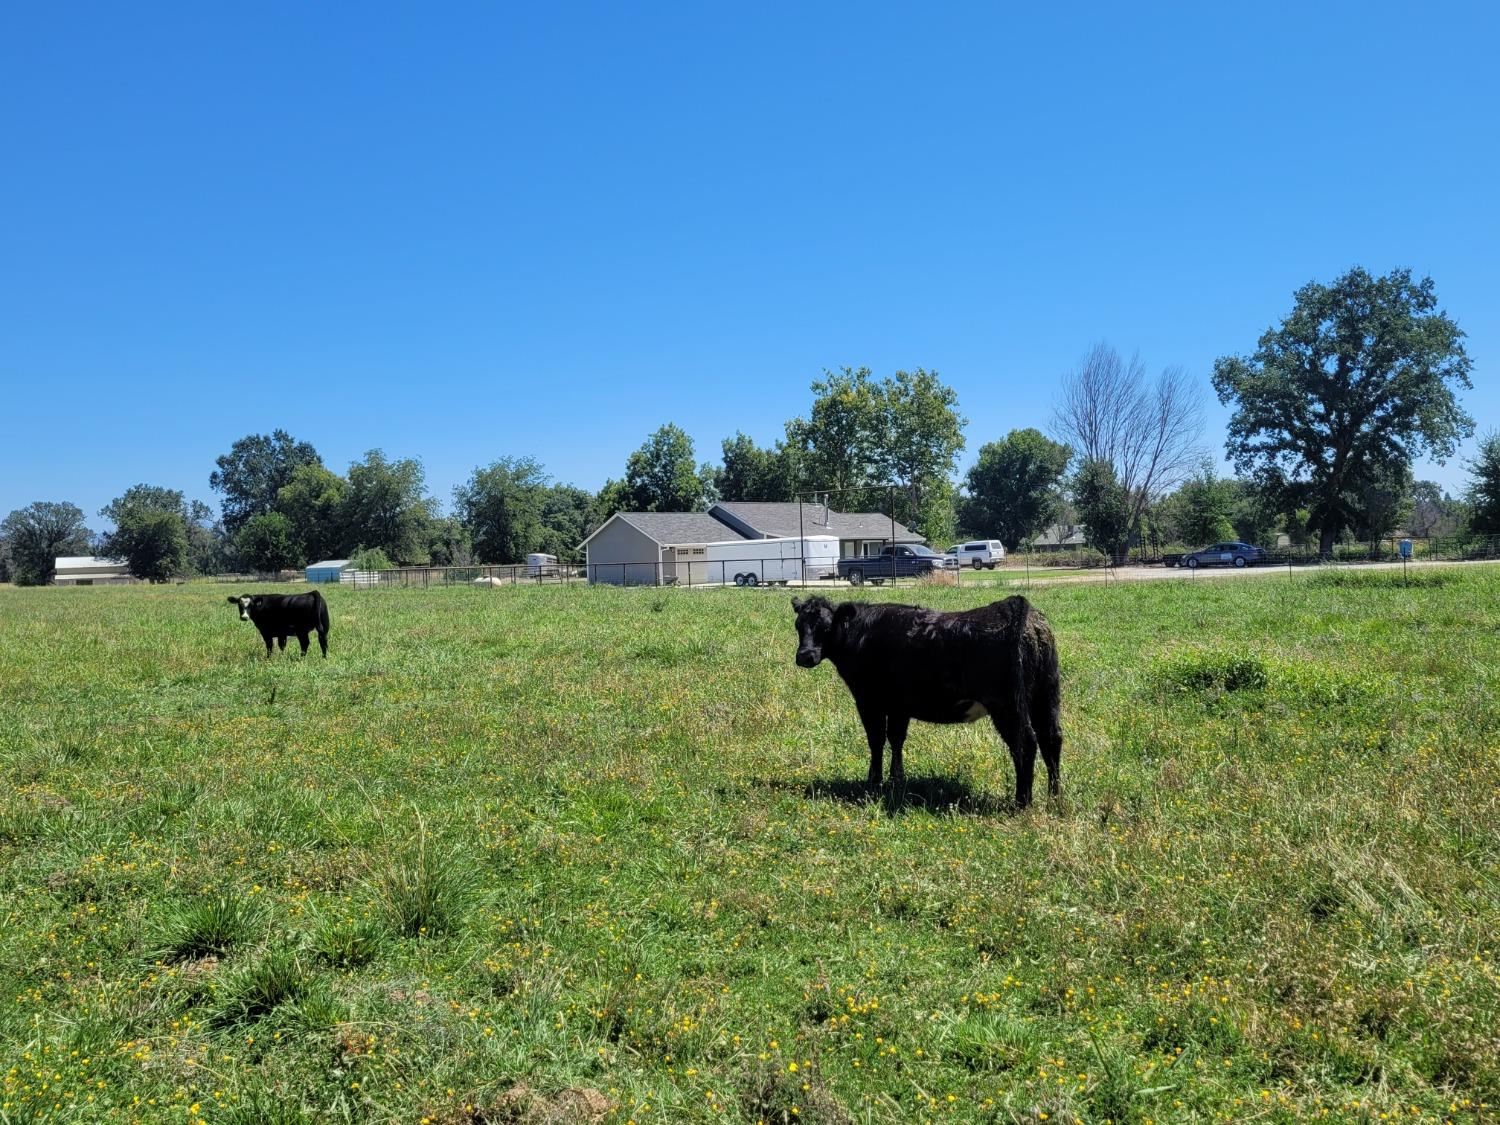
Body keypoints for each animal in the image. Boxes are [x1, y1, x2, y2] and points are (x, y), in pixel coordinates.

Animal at [792, 594, 1062, 804]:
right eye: (798, 626)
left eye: (826, 627)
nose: (805, 656)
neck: (862, 634)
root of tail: (1016, 607)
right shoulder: (899, 705)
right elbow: (896, 739)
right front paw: (896, 780)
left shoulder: (869, 700)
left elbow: (876, 740)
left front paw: (873, 782)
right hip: (1046, 693)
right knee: (1052, 738)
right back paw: (1055, 797)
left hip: (1008, 705)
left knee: (1025, 743)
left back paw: (1022, 802)